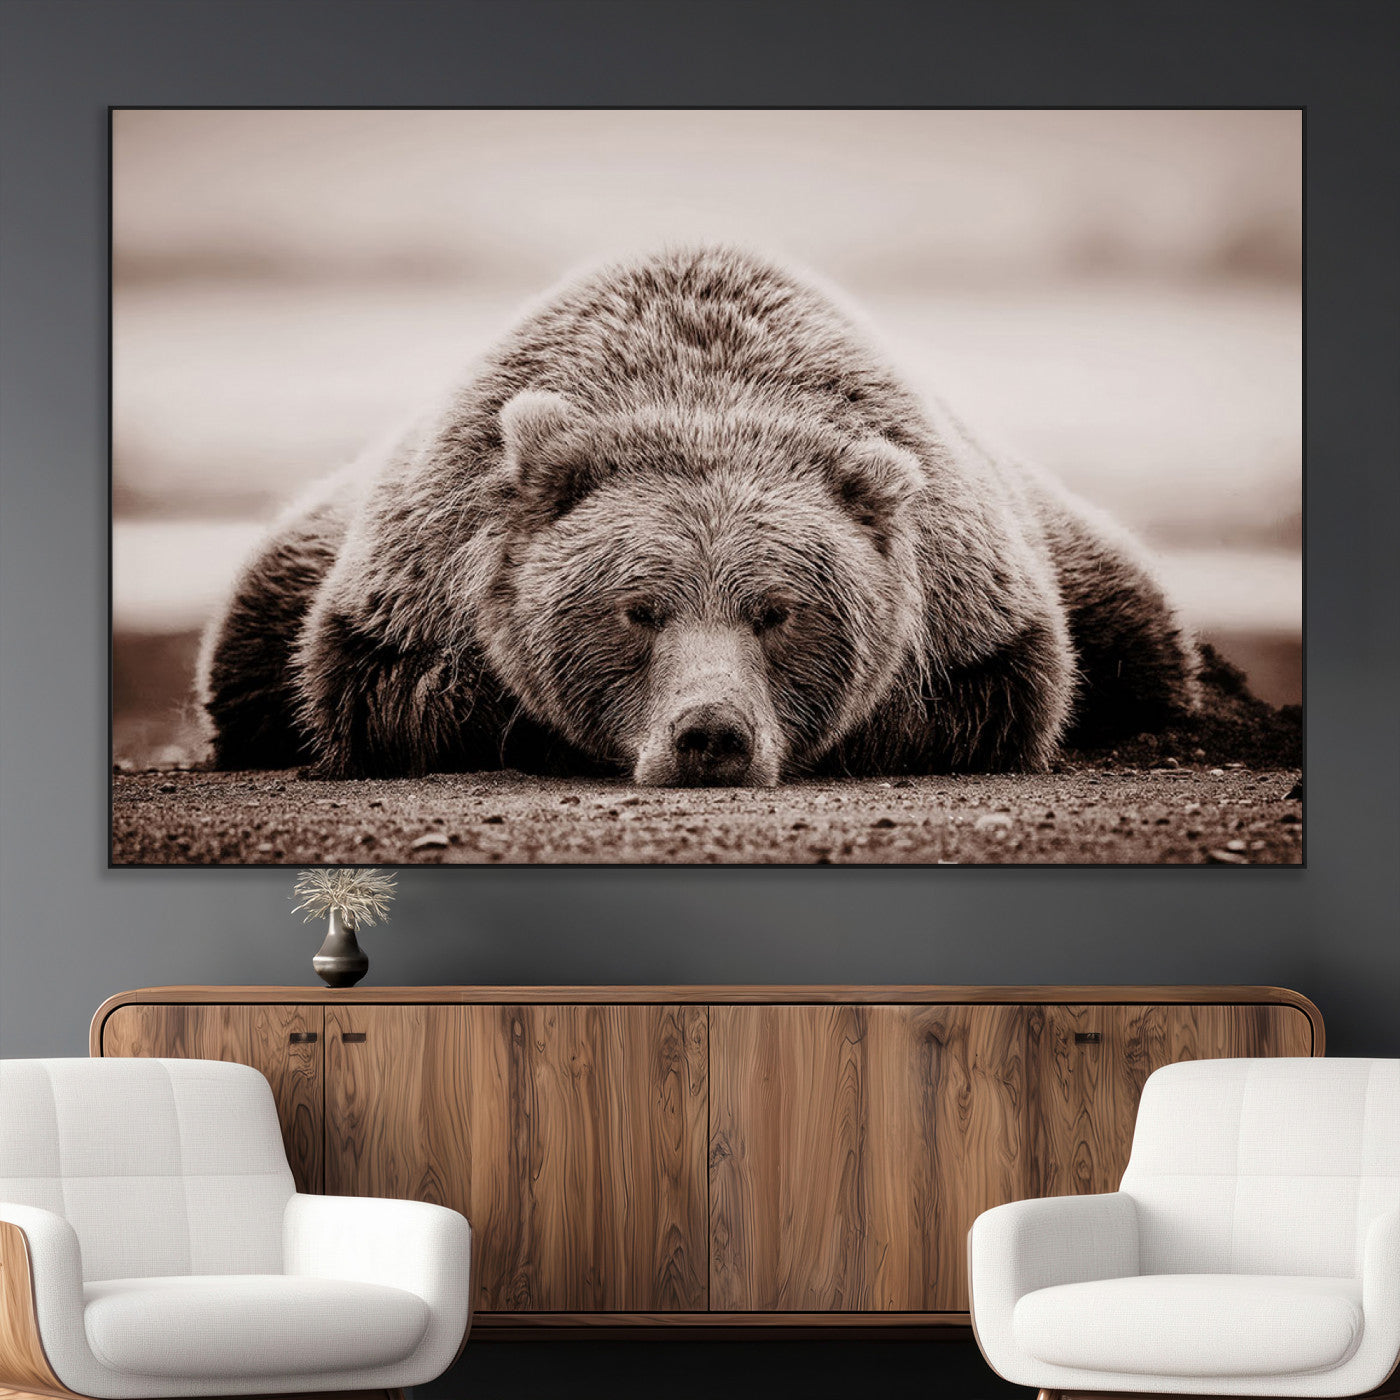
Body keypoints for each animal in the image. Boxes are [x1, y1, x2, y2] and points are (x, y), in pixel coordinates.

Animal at [198, 244, 1199, 786]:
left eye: (778, 611)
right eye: (637, 609)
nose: (711, 733)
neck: (702, 392)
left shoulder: (973, 601)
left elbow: (997, 697)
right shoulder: (415, 581)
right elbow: (388, 693)